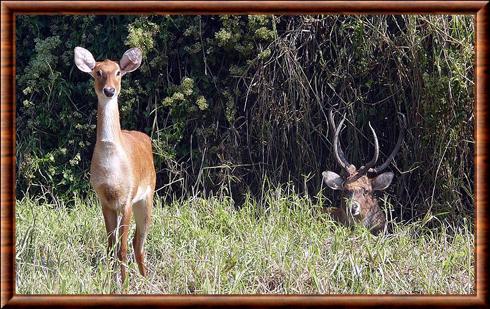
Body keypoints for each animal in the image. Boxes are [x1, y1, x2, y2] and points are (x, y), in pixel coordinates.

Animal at [73, 46, 155, 284]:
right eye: (98, 72)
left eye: (118, 72)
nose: (109, 90)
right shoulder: (104, 200)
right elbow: (110, 246)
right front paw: (109, 282)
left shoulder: (127, 198)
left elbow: (122, 249)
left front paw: (124, 284)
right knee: (134, 242)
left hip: (148, 196)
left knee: (138, 242)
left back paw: (145, 280)